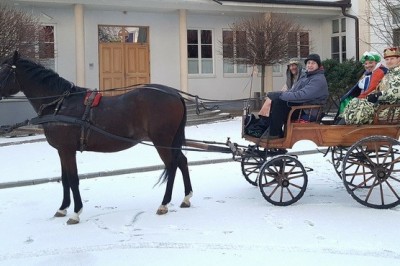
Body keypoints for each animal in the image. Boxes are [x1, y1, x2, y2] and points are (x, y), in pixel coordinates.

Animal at [0, 51, 194, 223]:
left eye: (4, 71)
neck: (60, 105)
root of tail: (175, 94)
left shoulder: (67, 150)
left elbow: (73, 179)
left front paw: (76, 213)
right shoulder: (62, 150)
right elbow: (65, 179)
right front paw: (62, 208)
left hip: (162, 141)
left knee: (172, 165)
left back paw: (164, 204)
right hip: (170, 141)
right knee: (182, 161)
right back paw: (186, 198)